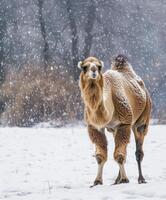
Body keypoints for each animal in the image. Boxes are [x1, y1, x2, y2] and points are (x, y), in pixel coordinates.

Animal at [77, 54, 151, 187]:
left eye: (99, 66)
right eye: (84, 67)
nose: (94, 70)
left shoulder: (124, 123)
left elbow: (119, 156)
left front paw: (125, 179)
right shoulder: (95, 127)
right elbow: (100, 156)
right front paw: (97, 181)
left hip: (142, 118)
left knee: (138, 150)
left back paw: (141, 179)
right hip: (113, 129)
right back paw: (116, 180)